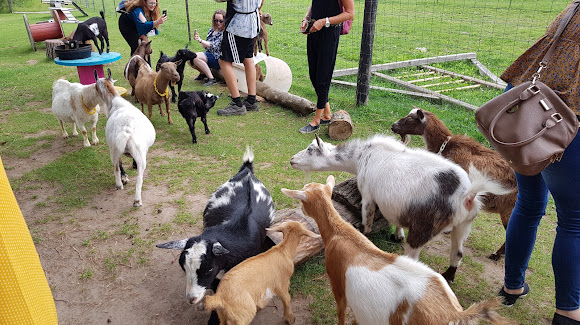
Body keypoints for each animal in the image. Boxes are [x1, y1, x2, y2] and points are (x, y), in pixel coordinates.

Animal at [92, 69, 154, 206]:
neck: (115, 101)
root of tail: (127, 131)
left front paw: (124, 177)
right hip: (137, 152)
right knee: (139, 177)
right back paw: (137, 200)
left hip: (114, 149)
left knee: (116, 166)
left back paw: (119, 184)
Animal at [280, 175, 512, 324]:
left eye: (303, 199)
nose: (302, 211)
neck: (341, 234)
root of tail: (453, 315)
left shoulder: (338, 284)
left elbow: (341, 312)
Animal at [290, 134, 512, 280]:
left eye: (310, 150)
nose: (292, 160)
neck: (361, 157)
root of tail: (467, 195)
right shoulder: (396, 205)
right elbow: (394, 219)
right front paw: (397, 235)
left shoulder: (368, 194)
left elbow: (367, 219)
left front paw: (365, 235)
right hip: (464, 225)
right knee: (457, 253)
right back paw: (448, 275)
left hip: (424, 228)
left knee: (414, 255)